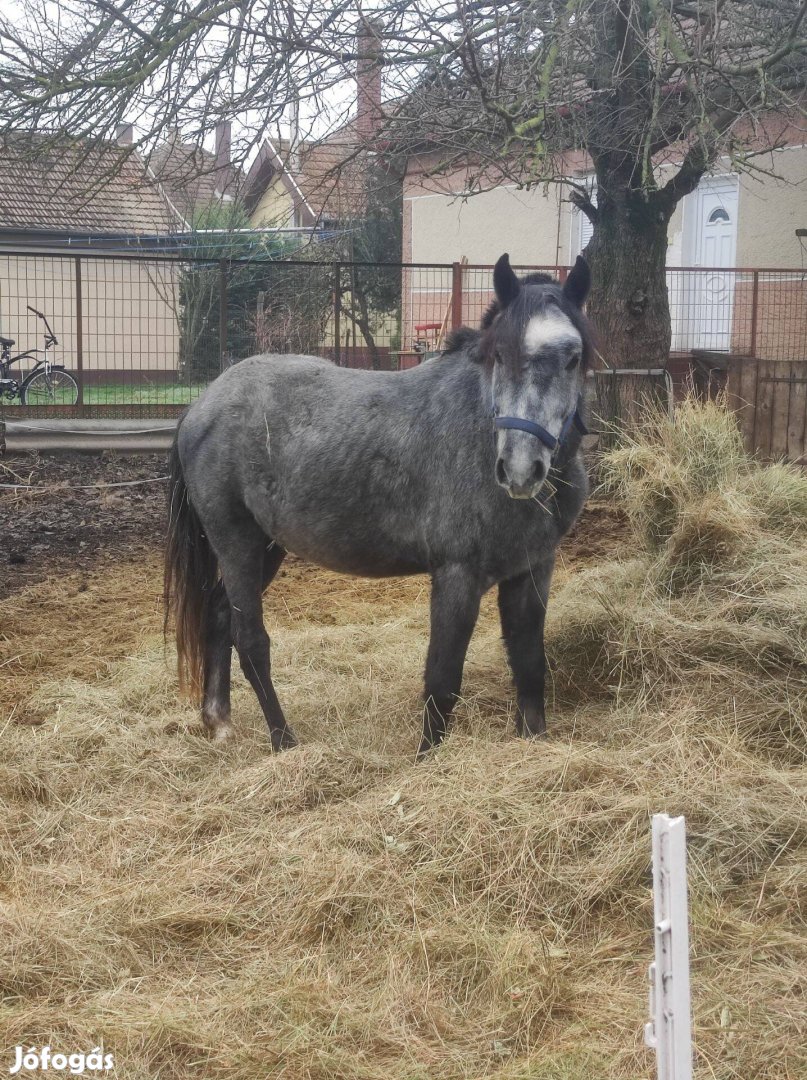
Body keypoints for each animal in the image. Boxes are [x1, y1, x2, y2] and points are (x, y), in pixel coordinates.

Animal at [164, 255, 592, 756]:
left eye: (573, 357)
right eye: (500, 355)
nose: (522, 469)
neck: (479, 431)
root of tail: (200, 408)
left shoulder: (531, 571)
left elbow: (529, 665)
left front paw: (534, 741)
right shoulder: (457, 576)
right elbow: (442, 680)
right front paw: (427, 758)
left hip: (266, 547)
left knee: (217, 617)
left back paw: (220, 722)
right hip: (237, 543)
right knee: (251, 642)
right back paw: (284, 743)